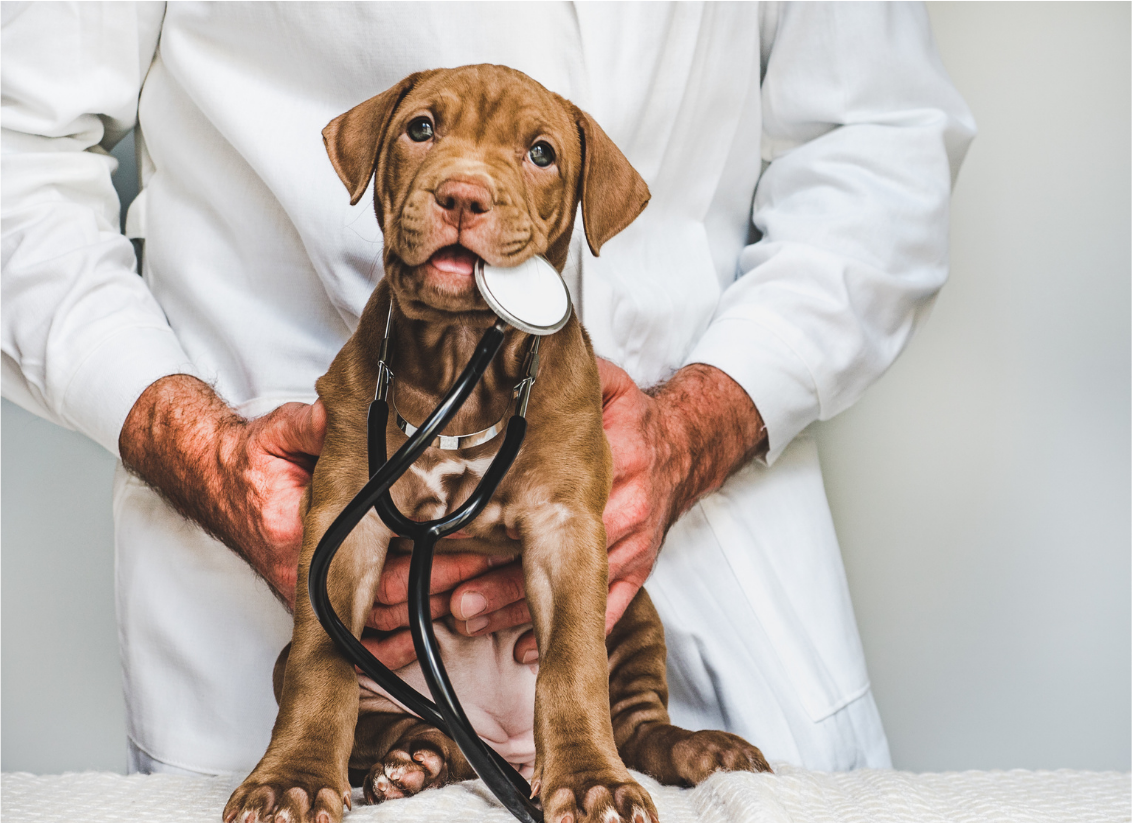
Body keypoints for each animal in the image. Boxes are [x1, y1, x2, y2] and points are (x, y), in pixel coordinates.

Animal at [220, 65, 769, 823]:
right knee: (398, 721)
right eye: (421, 128)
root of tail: (504, 751)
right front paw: (290, 780)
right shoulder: (342, 523)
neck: (462, 357)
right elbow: (319, 662)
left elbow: (571, 662)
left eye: (541, 153)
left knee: (637, 725)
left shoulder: (569, 528)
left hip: (635, 611)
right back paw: (412, 759)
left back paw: (702, 748)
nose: (462, 194)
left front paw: (593, 783)